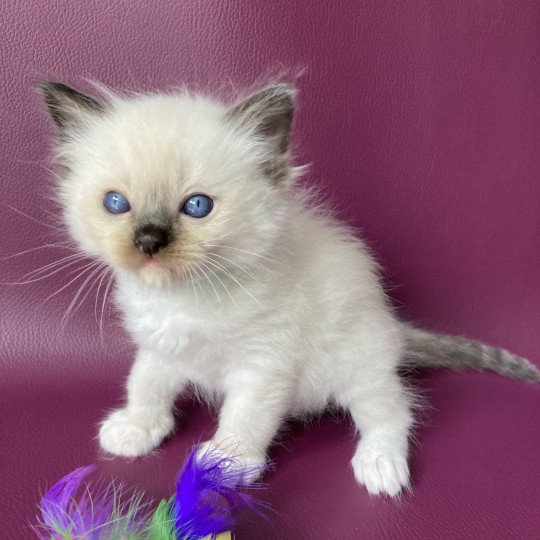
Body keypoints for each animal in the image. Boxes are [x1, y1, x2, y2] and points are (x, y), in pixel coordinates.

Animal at [39, 81, 540, 498]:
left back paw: (380, 466)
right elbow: (145, 385)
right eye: (116, 204)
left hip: (359, 364)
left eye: (197, 206)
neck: (185, 297)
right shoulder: (161, 348)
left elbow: (244, 417)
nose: (148, 241)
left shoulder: (262, 366)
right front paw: (137, 429)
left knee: (393, 412)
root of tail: (394, 329)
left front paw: (224, 464)